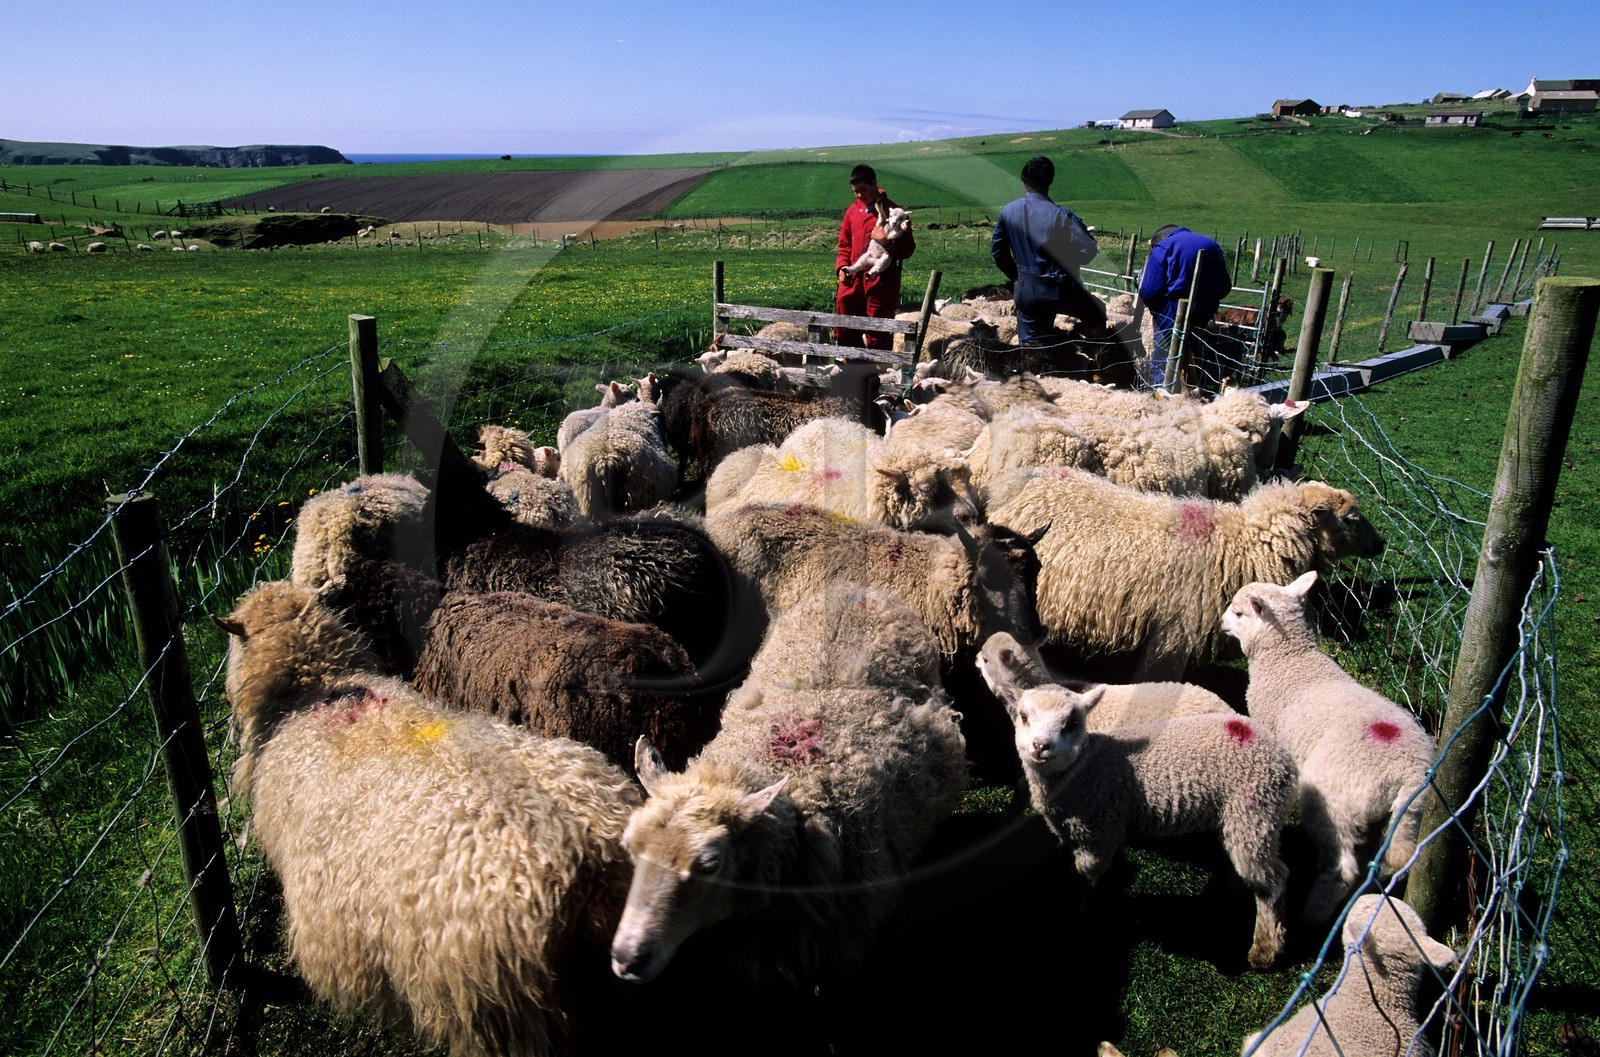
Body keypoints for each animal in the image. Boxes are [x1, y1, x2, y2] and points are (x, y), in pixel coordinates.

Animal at [1007, 682, 1296, 969]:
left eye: (1072, 723)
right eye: (1023, 716)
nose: (1040, 746)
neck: (1084, 769)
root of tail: (1283, 757)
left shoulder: (1099, 834)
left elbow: (1082, 876)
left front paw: (1073, 913)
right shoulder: (1071, 831)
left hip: (1255, 812)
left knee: (1272, 881)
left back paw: (1265, 949)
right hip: (1240, 819)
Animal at [1222, 571, 1438, 922]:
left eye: (1239, 613)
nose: (1220, 623)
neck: (1290, 658)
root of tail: (1407, 771)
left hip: (1335, 800)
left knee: (1343, 867)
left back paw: (1314, 912)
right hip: (1403, 812)